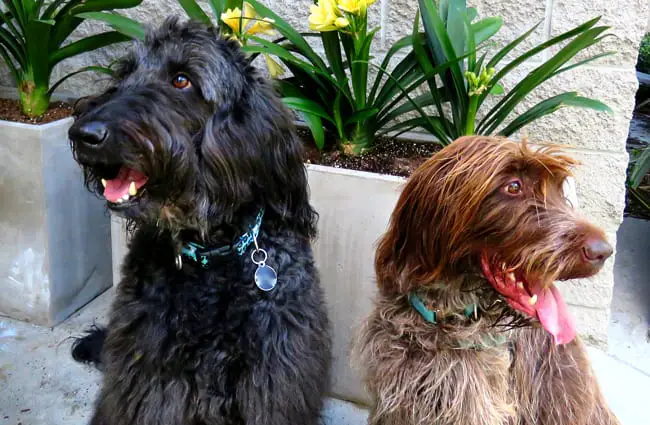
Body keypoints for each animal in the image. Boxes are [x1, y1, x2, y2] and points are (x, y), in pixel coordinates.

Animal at [69, 17, 332, 424]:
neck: (211, 254)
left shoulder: (272, 373)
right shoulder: (150, 373)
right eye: (125, 73)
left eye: (181, 80)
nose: (83, 133)